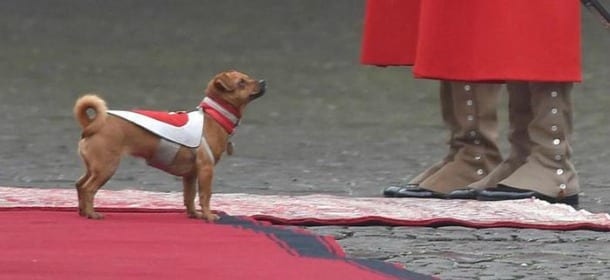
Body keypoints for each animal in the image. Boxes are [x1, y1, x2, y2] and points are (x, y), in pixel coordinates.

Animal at [72, 70, 264, 221]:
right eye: (241, 82)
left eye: (247, 77)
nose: (263, 81)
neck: (213, 116)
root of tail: (92, 124)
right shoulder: (206, 170)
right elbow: (205, 195)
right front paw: (208, 216)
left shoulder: (190, 175)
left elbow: (189, 197)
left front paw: (194, 214)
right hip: (106, 168)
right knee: (89, 189)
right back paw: (92, 214)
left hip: (93, 168)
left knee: (80, 185)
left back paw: (83, 211)